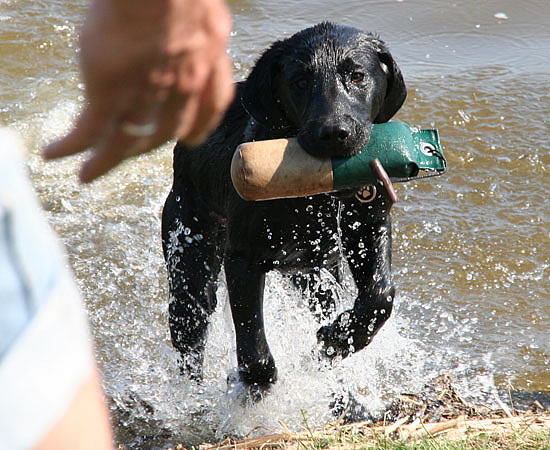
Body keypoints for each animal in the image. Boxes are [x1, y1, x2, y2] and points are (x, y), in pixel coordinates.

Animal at [162, 22, 408, 392]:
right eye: (301, 81)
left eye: (357, 76)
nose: (333, 133)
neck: (313, 196)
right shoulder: (242, 259)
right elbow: (253, 348)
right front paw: (254, 387)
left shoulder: (367, 225)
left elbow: (380, 296)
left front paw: (334, 342)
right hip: (190, 251)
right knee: (191, 324)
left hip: (313, 273)